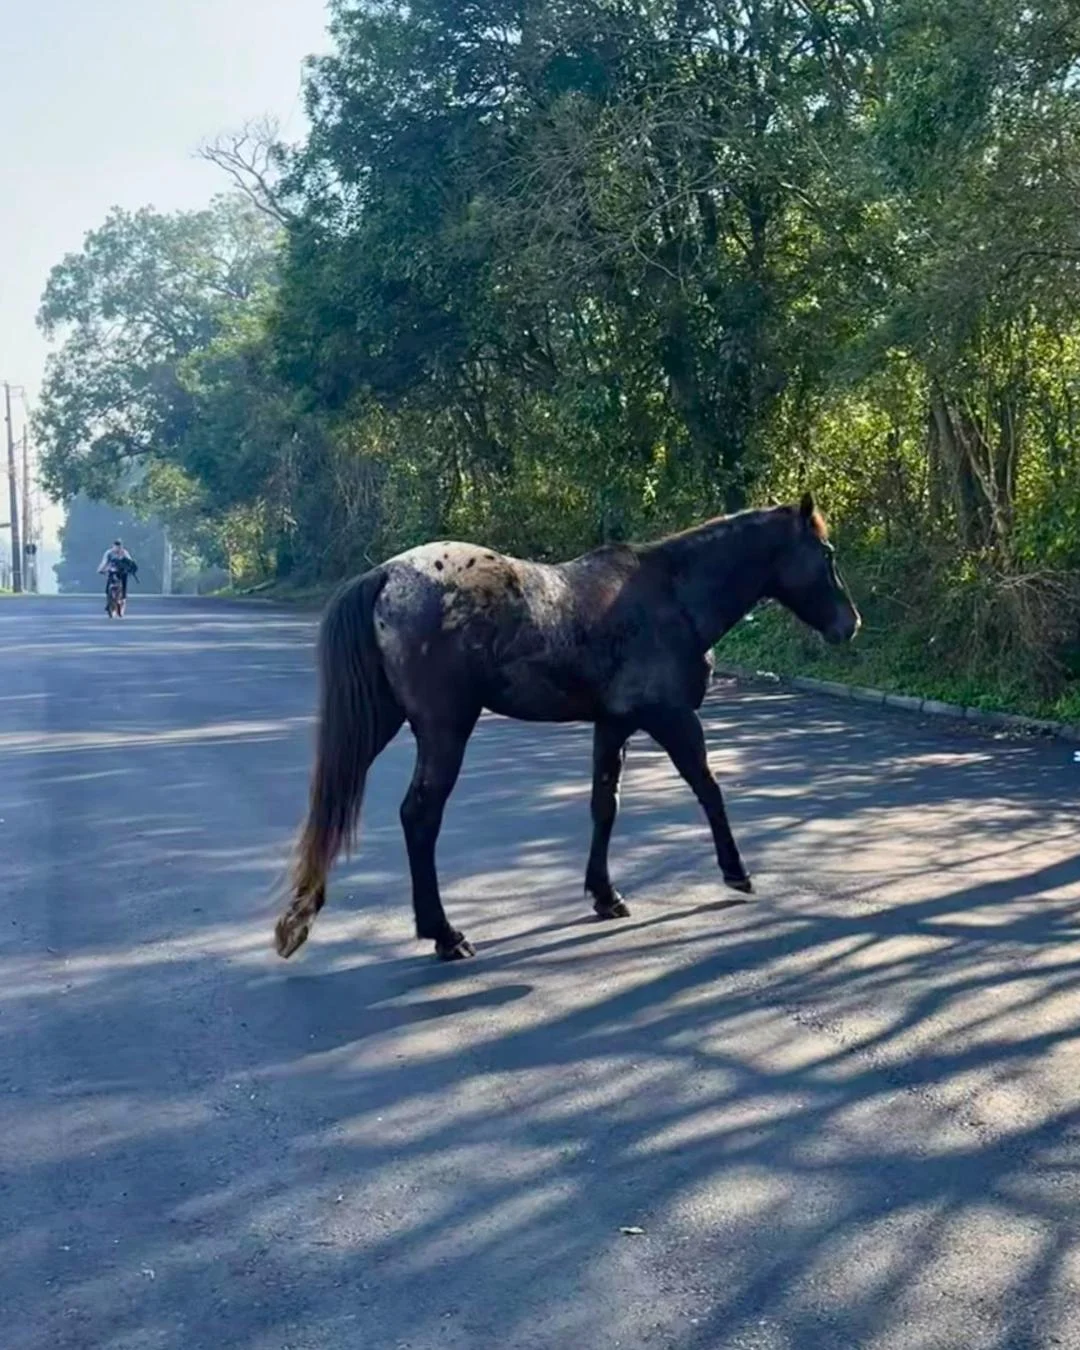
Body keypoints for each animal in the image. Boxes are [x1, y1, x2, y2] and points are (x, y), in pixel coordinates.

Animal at [274, 493, 860, 962]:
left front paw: (605, 895)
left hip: (382, 720)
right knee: (419, 817)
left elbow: (605, 806)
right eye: (826, 555)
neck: (672, 596)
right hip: (445, 730)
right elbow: (708, 788)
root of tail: (387, 575)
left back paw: (301, 919)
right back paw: (444, 934)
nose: (849, 624)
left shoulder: (614, 725)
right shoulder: (671, 718)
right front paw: (736, 871)